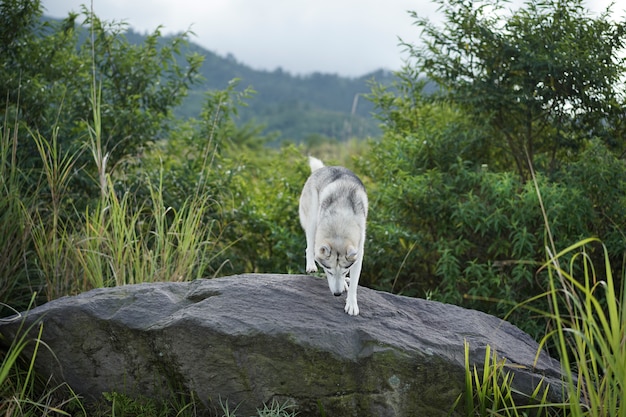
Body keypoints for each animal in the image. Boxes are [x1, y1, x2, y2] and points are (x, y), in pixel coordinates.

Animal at [298, 156, 366, 316]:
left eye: (345, 271)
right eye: (329, 272)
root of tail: (323, 168)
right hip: (312, 220)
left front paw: (351, 304)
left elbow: (355, 282)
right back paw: (311, 266)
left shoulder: (358, 253)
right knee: (309, 247)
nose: (337, 294)